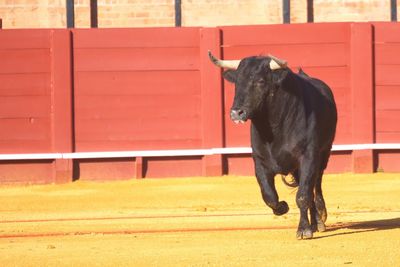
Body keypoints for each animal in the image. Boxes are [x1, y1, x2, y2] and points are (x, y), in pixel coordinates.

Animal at [209, 51, 338, 240]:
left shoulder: (308, 156)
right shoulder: (260, 161)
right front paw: (283, 207)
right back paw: (315, 222)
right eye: (237, 82)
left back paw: (320, 218)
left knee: (316, 184)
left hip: (324, 153)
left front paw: (303, 229)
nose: (236, 113)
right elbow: (269, 195)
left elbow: (303, 195)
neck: (274, 128)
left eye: (261, 81)